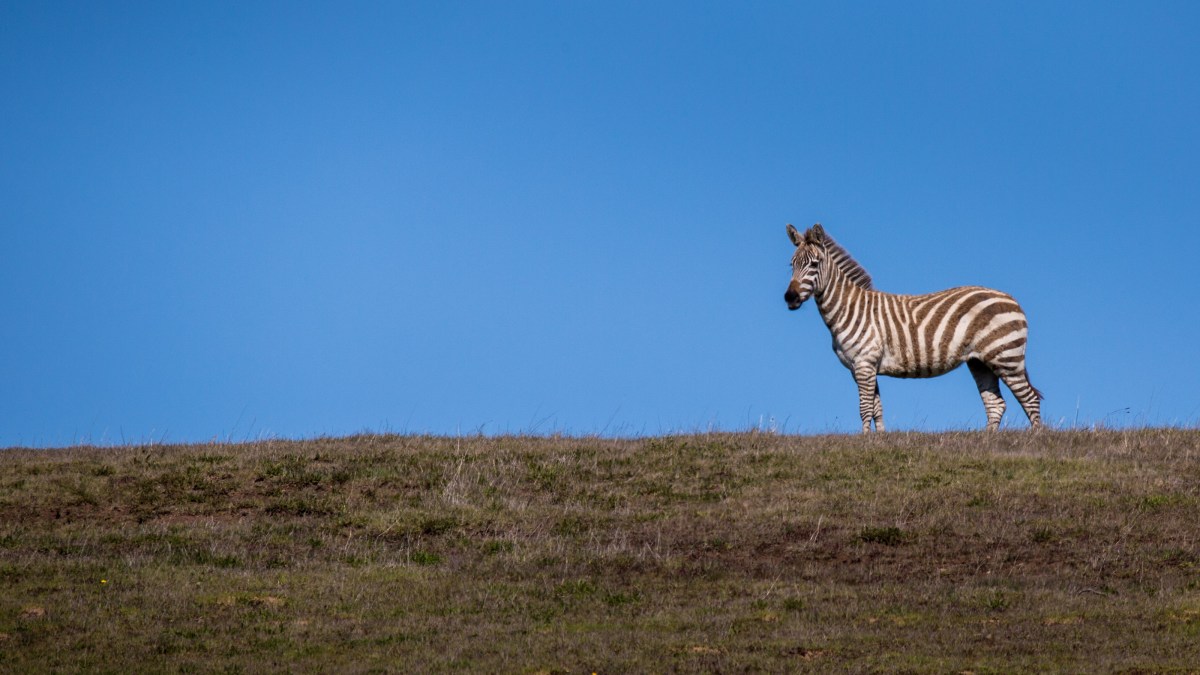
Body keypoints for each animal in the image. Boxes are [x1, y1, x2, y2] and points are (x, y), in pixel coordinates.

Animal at [783, 223, 1042, 432]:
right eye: (792, 265)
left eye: (814, 264)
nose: (790, 297)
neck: (849, 309)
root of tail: (1012, 299)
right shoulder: (863, 367)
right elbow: (877, 408)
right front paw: (878, 441)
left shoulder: (864, 363)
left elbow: (865, 408)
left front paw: (863, 441)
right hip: (980, 361)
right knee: (996, 404)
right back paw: (986, 443)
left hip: (1006, 357)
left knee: (1030, 399)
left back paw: (1035, 440)